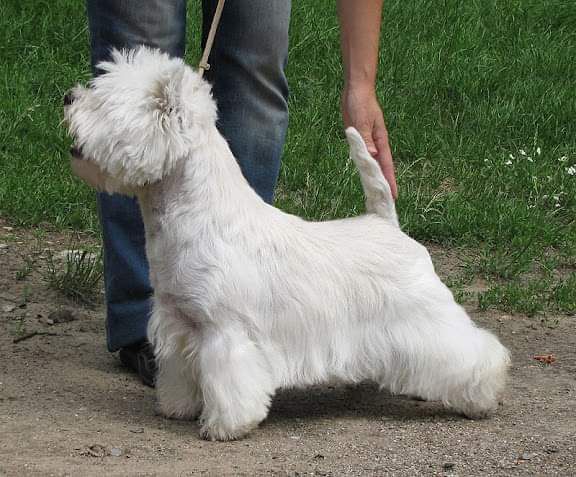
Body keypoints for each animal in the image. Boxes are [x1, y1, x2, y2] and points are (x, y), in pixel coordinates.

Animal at [65, 47, 510, 438]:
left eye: (102, 103)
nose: (68, 96)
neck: (192, 214)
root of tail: (386, 223)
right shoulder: (179, 321)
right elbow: (180, 371)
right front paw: (178, 406)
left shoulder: (225, 331)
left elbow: (229, 383)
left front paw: (225, 426)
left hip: (426, 316)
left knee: (474, 352)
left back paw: (481, 397)